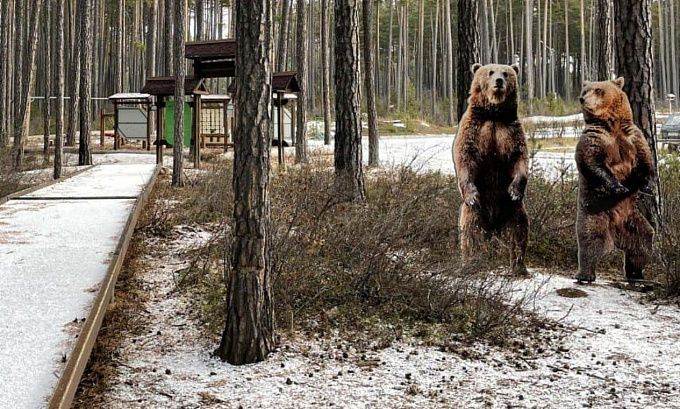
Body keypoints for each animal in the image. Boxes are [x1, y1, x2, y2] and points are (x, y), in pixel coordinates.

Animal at [454, 63, 528, 274]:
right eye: (490, 72)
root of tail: (494, 227)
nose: (499, 81)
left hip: (513, 210)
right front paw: (471, 194)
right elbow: (465, 158)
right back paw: (470, 263)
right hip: (475, 212)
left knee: (519, 231)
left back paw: (519, 267)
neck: (494, 113)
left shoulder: (510, 130)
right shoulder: (475, 129)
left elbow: (519, 158)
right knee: (470, 233)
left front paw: (515, 190)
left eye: (506, 73)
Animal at [572, 76, 660, 282]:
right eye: (584, 90)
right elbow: (592, 163)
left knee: (643, 242)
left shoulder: (633, 137)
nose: (582, 99)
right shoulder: (596, 139)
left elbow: (646, 162)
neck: (611, 124)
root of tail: (615, 230)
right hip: (593, 213)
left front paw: (649, 187)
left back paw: (636, 273)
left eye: (598, 89)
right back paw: (585, 274)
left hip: (632, 221)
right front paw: (618, 187)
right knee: (590, 241)